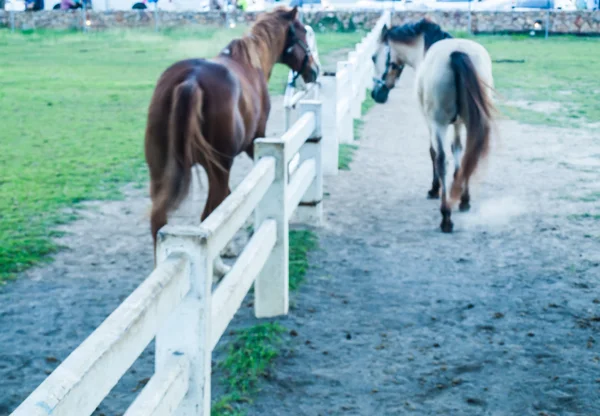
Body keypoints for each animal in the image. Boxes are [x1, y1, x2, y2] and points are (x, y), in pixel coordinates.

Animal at [145, 6, 318, 274]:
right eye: (303, 33)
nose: (315, 70)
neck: (250, 62)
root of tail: (190, 80)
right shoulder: (254, 143)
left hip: (160, 170)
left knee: (159, 219)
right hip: (219, 168)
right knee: (208, 213)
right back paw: (218, 267)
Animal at [372, 19, 494, 232]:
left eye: (373, 58)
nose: (376, 94)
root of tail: (457, 52)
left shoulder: (430, 123)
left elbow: (434, 153)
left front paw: (435, 189)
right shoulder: (458, 124)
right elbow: (458, 152)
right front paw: (458, 191)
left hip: (439, 124)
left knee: (441, 160)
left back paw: (446, 216)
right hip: (470, 122)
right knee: (469, 153)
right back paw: (464, 201)